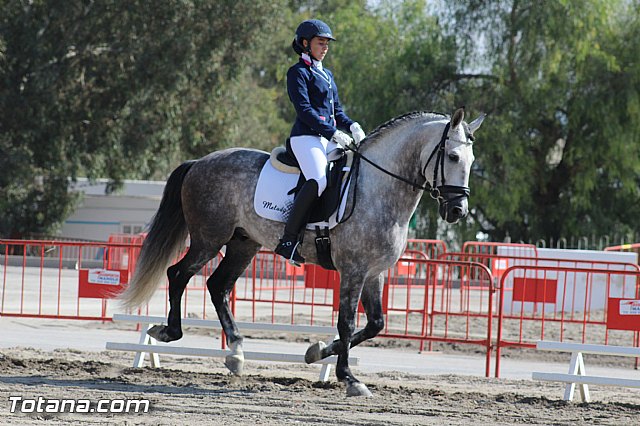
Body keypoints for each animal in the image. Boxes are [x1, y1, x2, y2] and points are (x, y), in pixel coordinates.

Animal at [119, 106, 484, 396]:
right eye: (452, 157)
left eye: (471, 160)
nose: (458, 211)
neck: (379, 189)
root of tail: (200, 162)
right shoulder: (353, 269)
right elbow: (347, 323)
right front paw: (349, 378)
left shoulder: (374, 272)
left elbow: (375, 324)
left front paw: (316, 351)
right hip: (208, 240)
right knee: (178, 274)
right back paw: (167, 331)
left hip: (243, 244)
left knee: (217, 286)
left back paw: (236, 353)